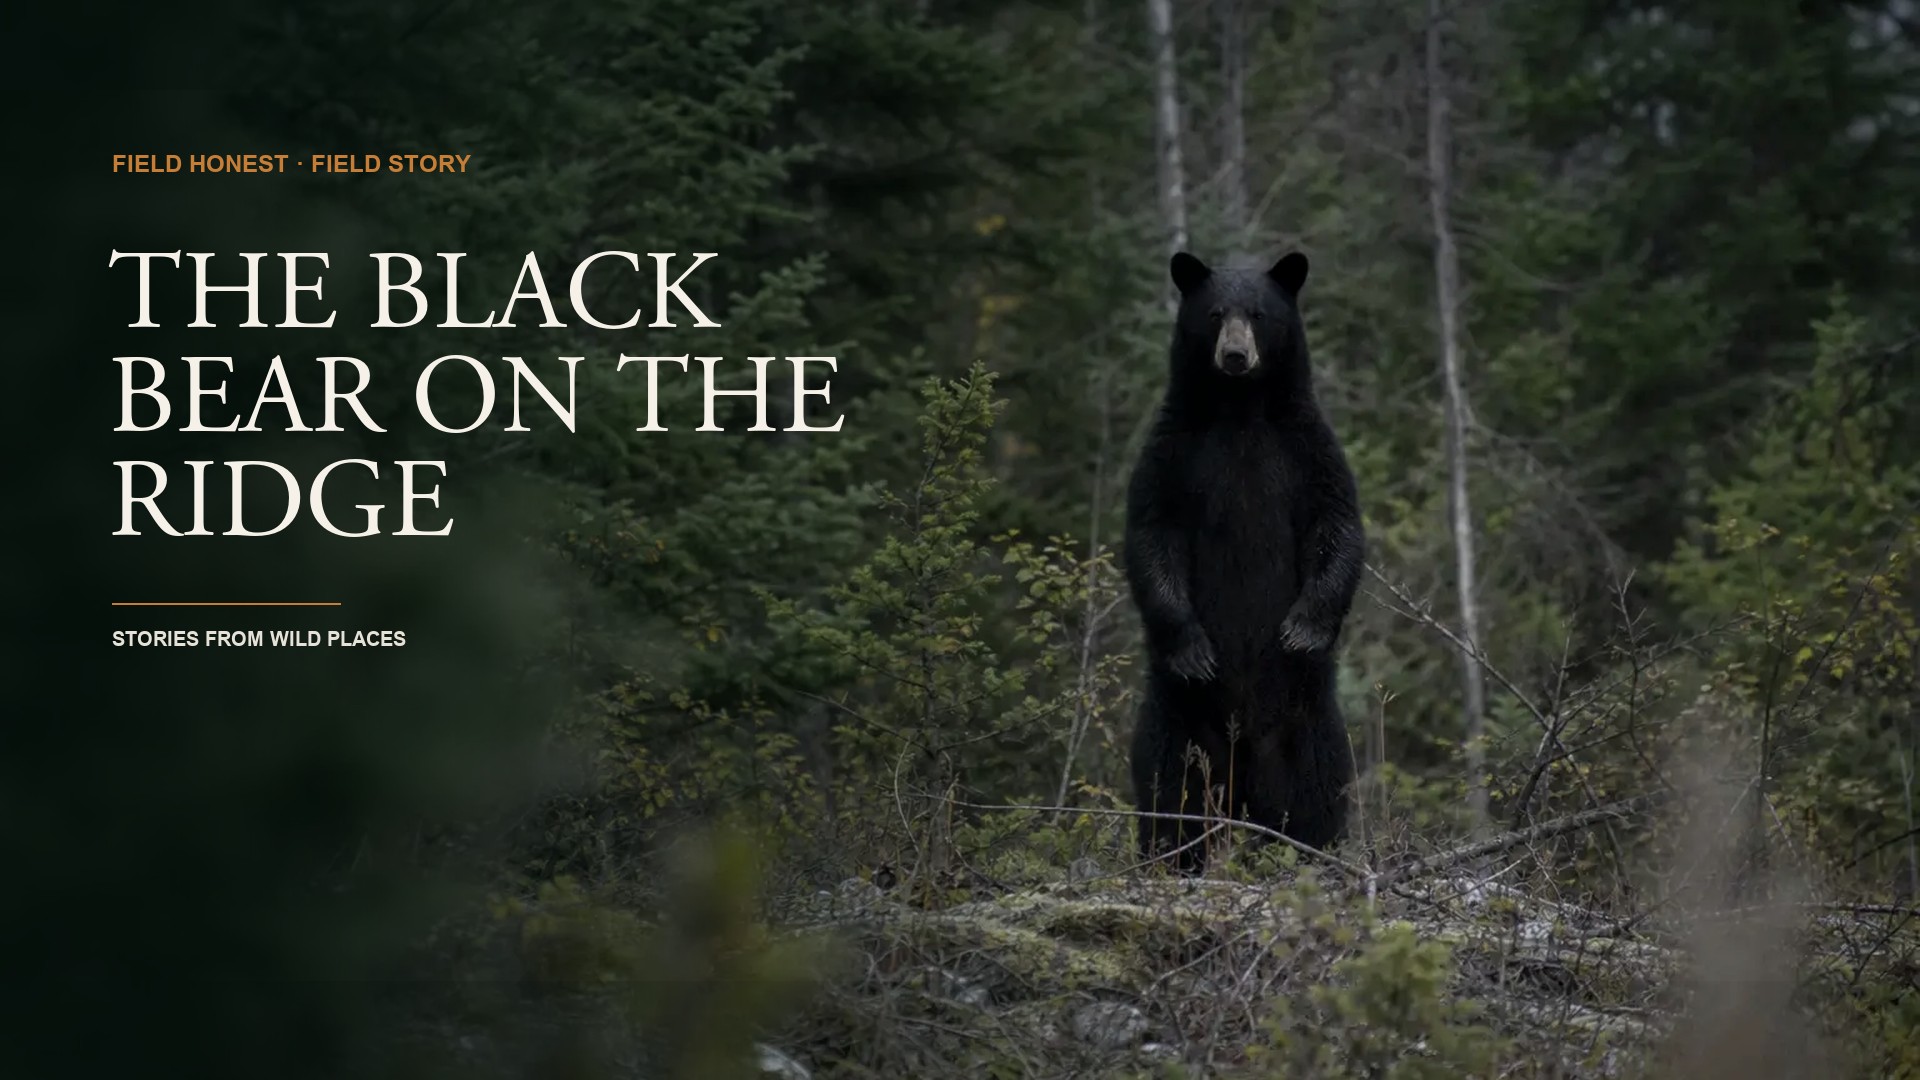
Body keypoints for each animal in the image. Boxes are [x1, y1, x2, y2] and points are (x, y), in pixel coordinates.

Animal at [1123, 249, 1364, 874]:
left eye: (1257, 313)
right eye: (1214, 314)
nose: (1235, 355)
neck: (1239, 411)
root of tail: (1243, 777)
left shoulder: (1307, 450)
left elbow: (1336, 526)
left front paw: (1302, 630)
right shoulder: (1173, 452)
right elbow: (1152, 534)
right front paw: (1195, 651)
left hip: (1306, 721)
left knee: (1316, 790)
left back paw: (1315, 854)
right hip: (1179, 719)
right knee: (1169, 788)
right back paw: (1171, 859)